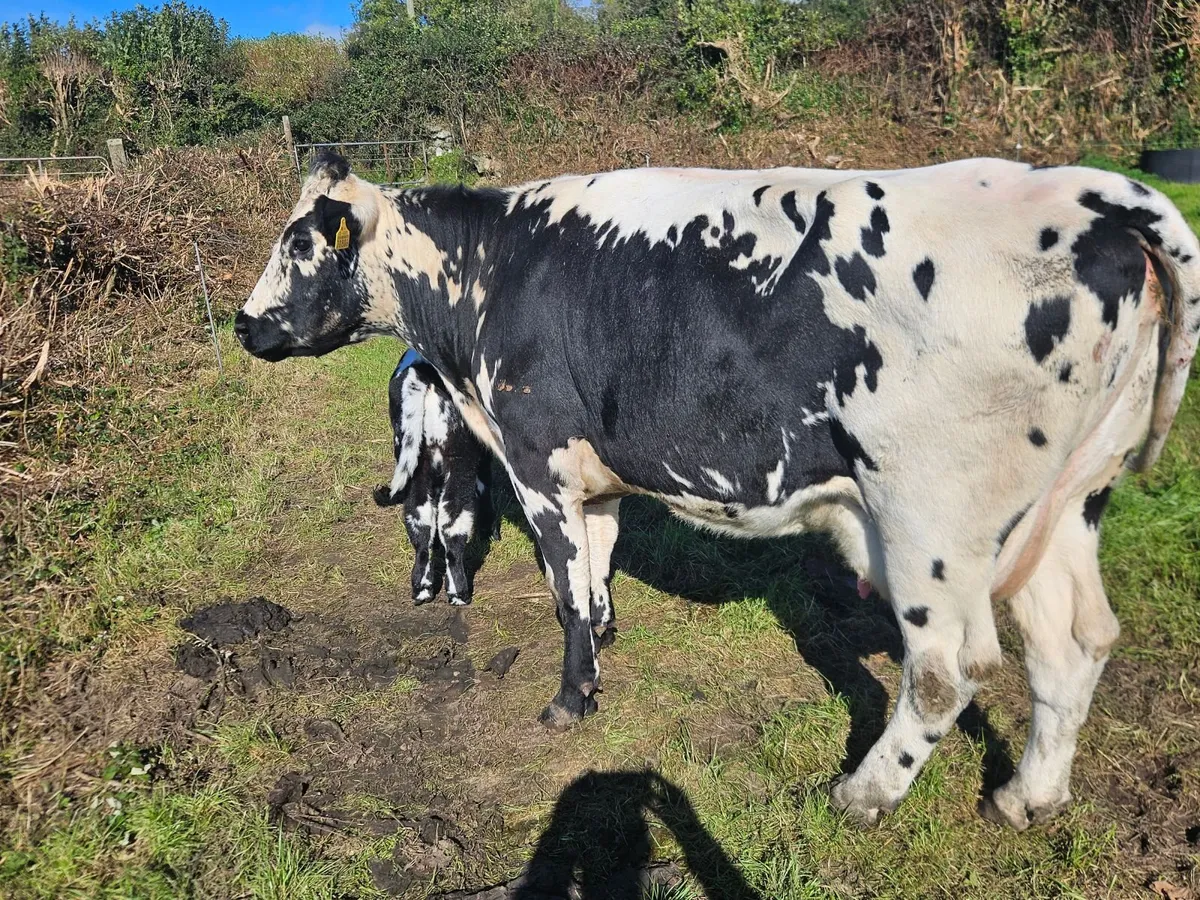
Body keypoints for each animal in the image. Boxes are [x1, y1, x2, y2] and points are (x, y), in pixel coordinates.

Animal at [373, 347, 501, 606]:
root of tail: (423, 374)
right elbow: (485, 488)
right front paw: (491, 533)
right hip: (460, 462)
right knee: (453, 525)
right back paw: (459, 594)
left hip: (414, 463)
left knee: (420, 526)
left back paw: (422, 590)